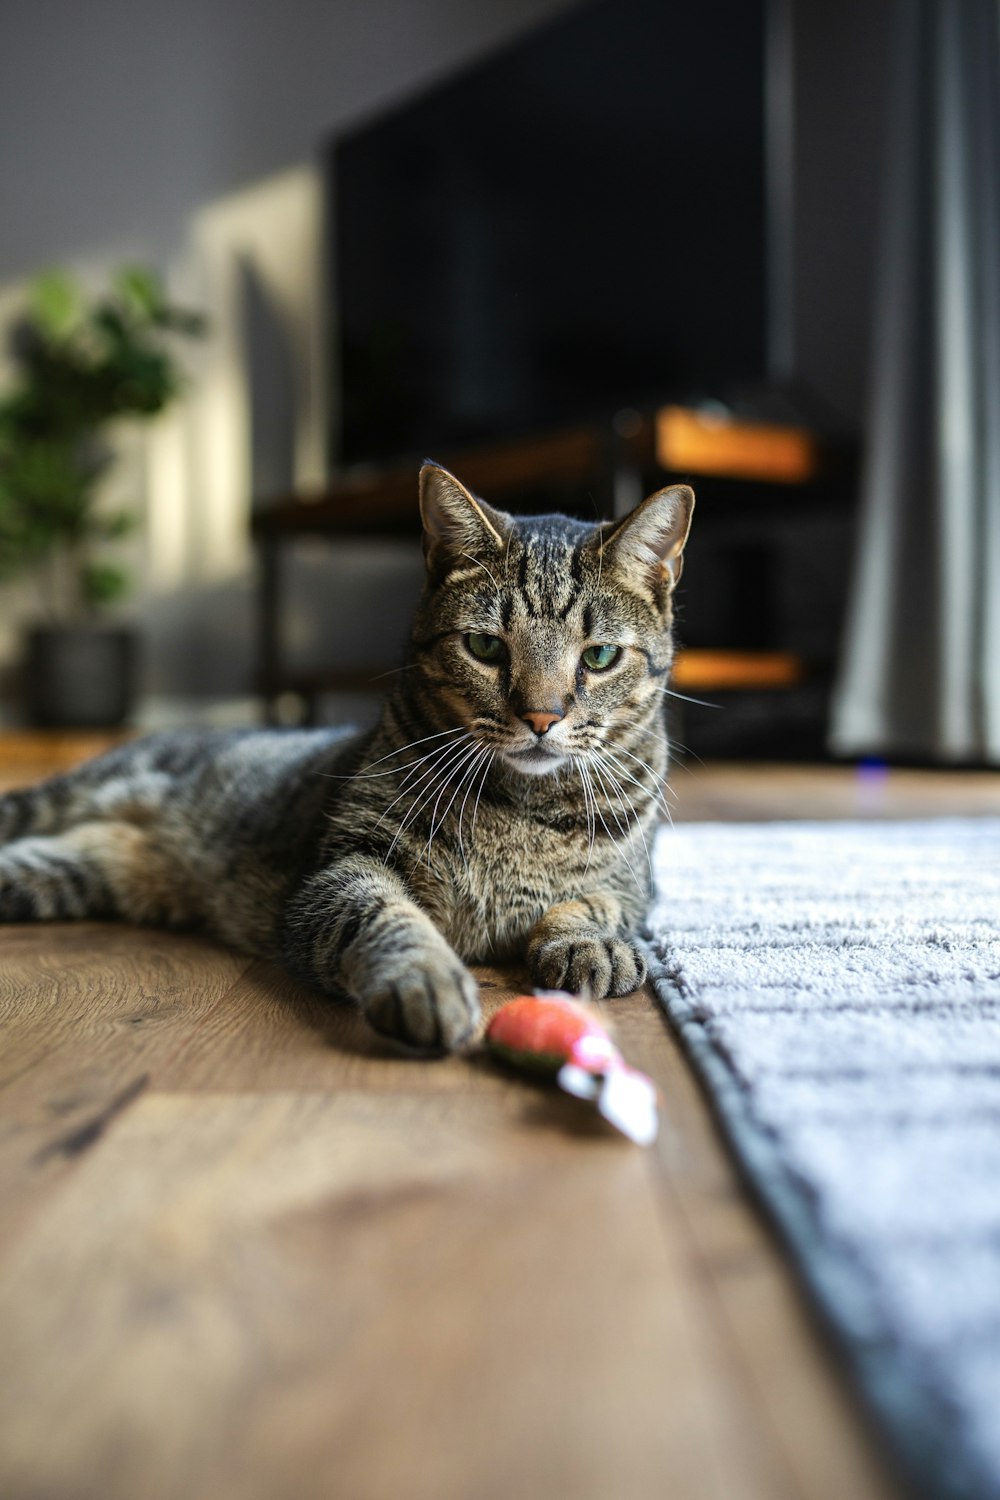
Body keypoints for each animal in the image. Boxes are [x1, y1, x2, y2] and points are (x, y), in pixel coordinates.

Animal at [0, 462, 692, 1050]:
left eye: (599, 656)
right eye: (485, 647)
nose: (542, 718)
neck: (522, 808)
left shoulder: (637, 887)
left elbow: (600, 903)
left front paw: (589, 941)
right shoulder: (342, 867)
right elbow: (386, 915)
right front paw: (424, 978)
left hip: (71, 871)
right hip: (68, 799)